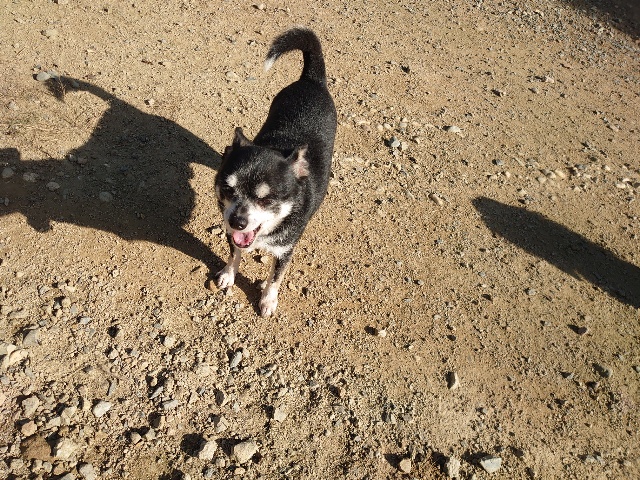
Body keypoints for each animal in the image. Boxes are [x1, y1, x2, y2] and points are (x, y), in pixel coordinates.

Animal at [211, 27, 337, 317]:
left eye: (266, 199)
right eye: (228, 189)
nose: (238, 221)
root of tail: (311, 80)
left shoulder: (285, 250)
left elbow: (275, 277)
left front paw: (268, 300)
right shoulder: (233, 234)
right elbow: (234, 253)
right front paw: (228, 274)